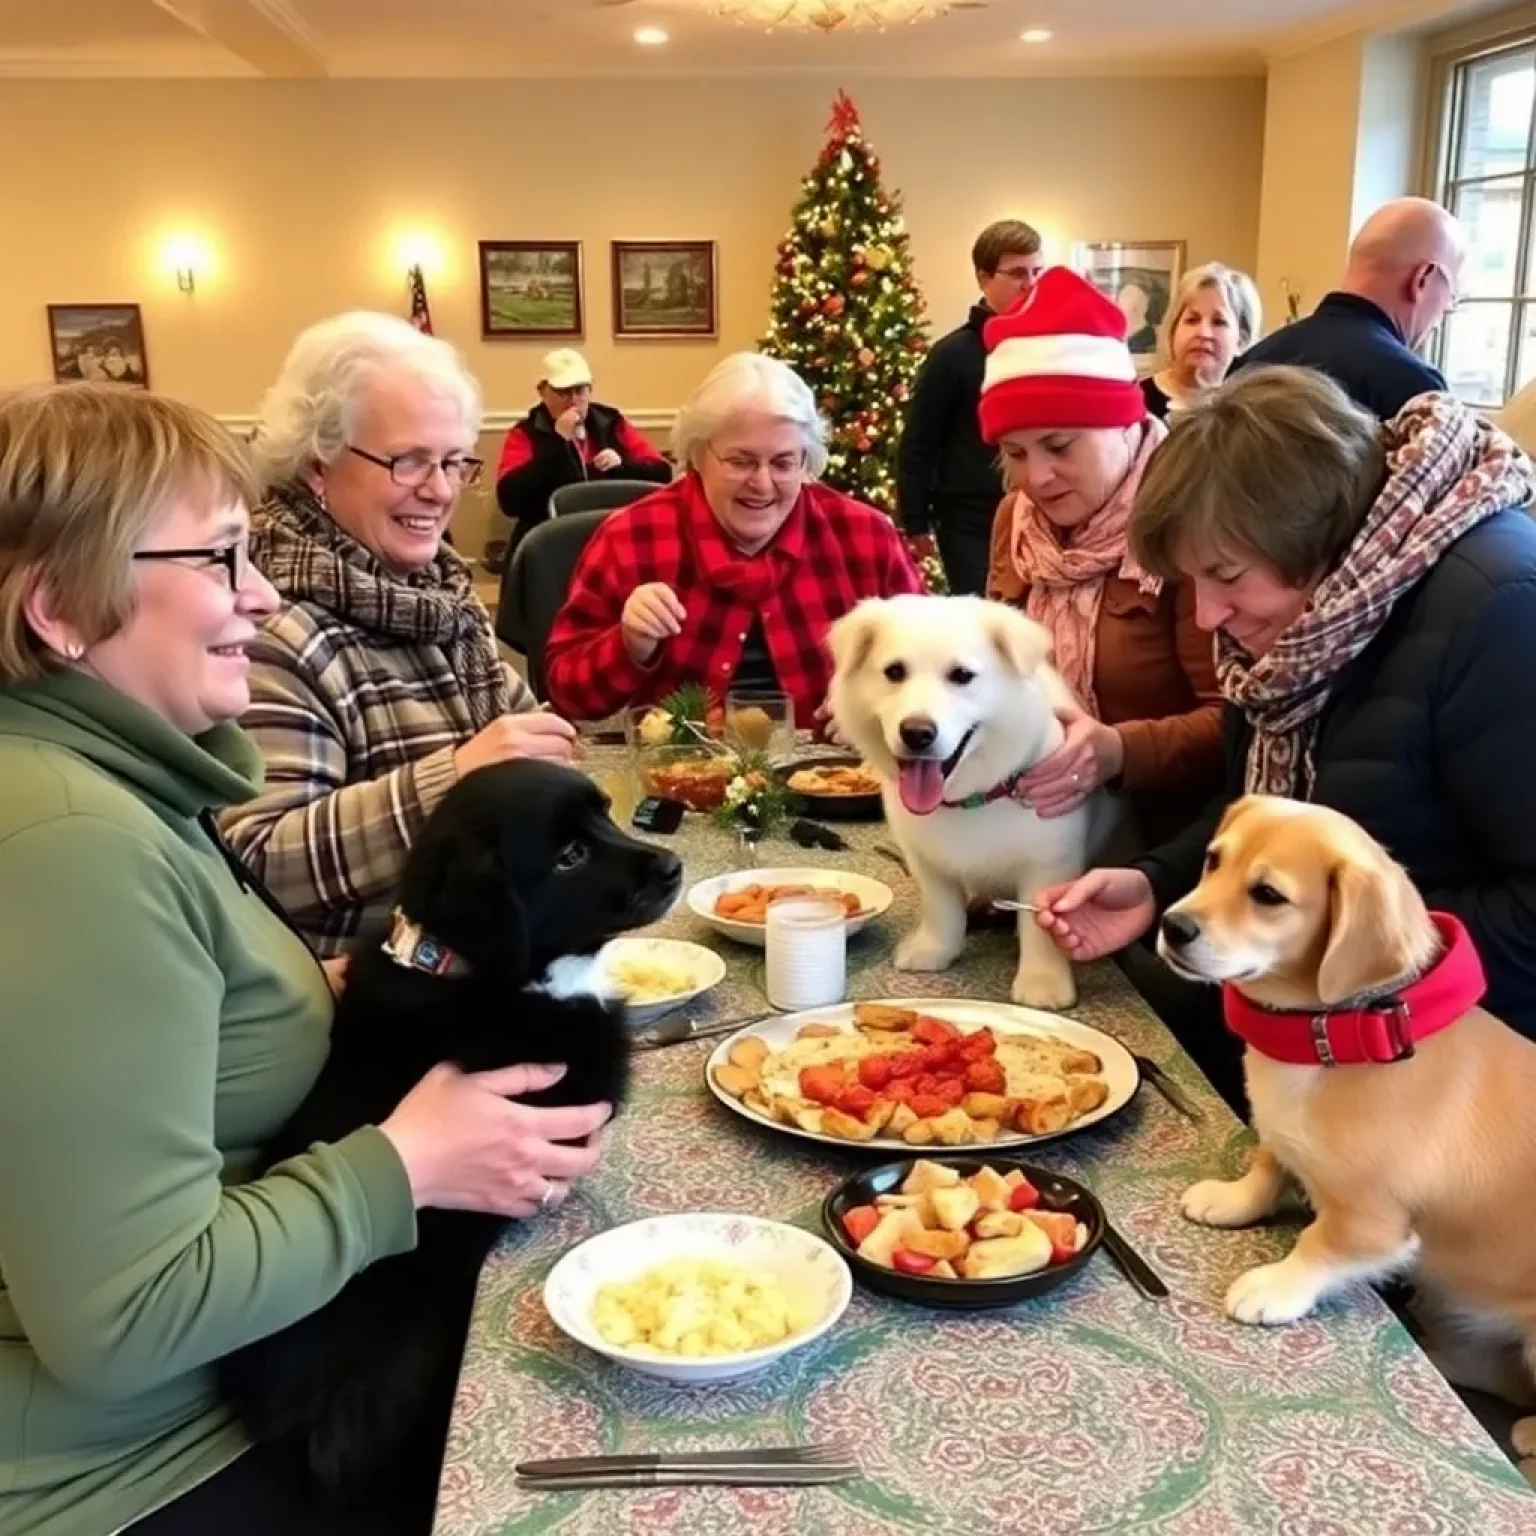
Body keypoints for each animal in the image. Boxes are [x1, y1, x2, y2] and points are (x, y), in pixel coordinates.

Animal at [829, 589, 1105, 1007]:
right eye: (894, 672)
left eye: (961, 676)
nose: (917, 733)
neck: (969, 797)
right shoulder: (925, 860)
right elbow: (942, 910)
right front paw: (934, 950)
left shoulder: (1051, 864)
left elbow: (1041, 926)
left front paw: (1043, 983)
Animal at [1155, 798, 1536, 1468]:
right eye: (1212, 859)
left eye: (1268, 895)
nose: (1172, 926)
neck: (1337, 1038)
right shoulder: (1278, 1138)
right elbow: (1267, 1163)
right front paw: (1233, 1200)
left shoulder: (1371, 1221)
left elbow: (1321, 1245)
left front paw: (1274, 1288)